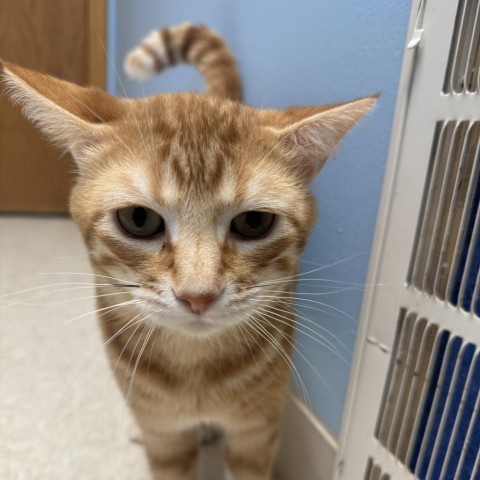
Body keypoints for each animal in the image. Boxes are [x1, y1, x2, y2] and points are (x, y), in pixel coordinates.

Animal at [0, 25, 376, 480]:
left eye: (254, 223)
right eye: (139, 219)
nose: (198, 295)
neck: (196, 371)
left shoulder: (256, 433)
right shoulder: (165, 438)